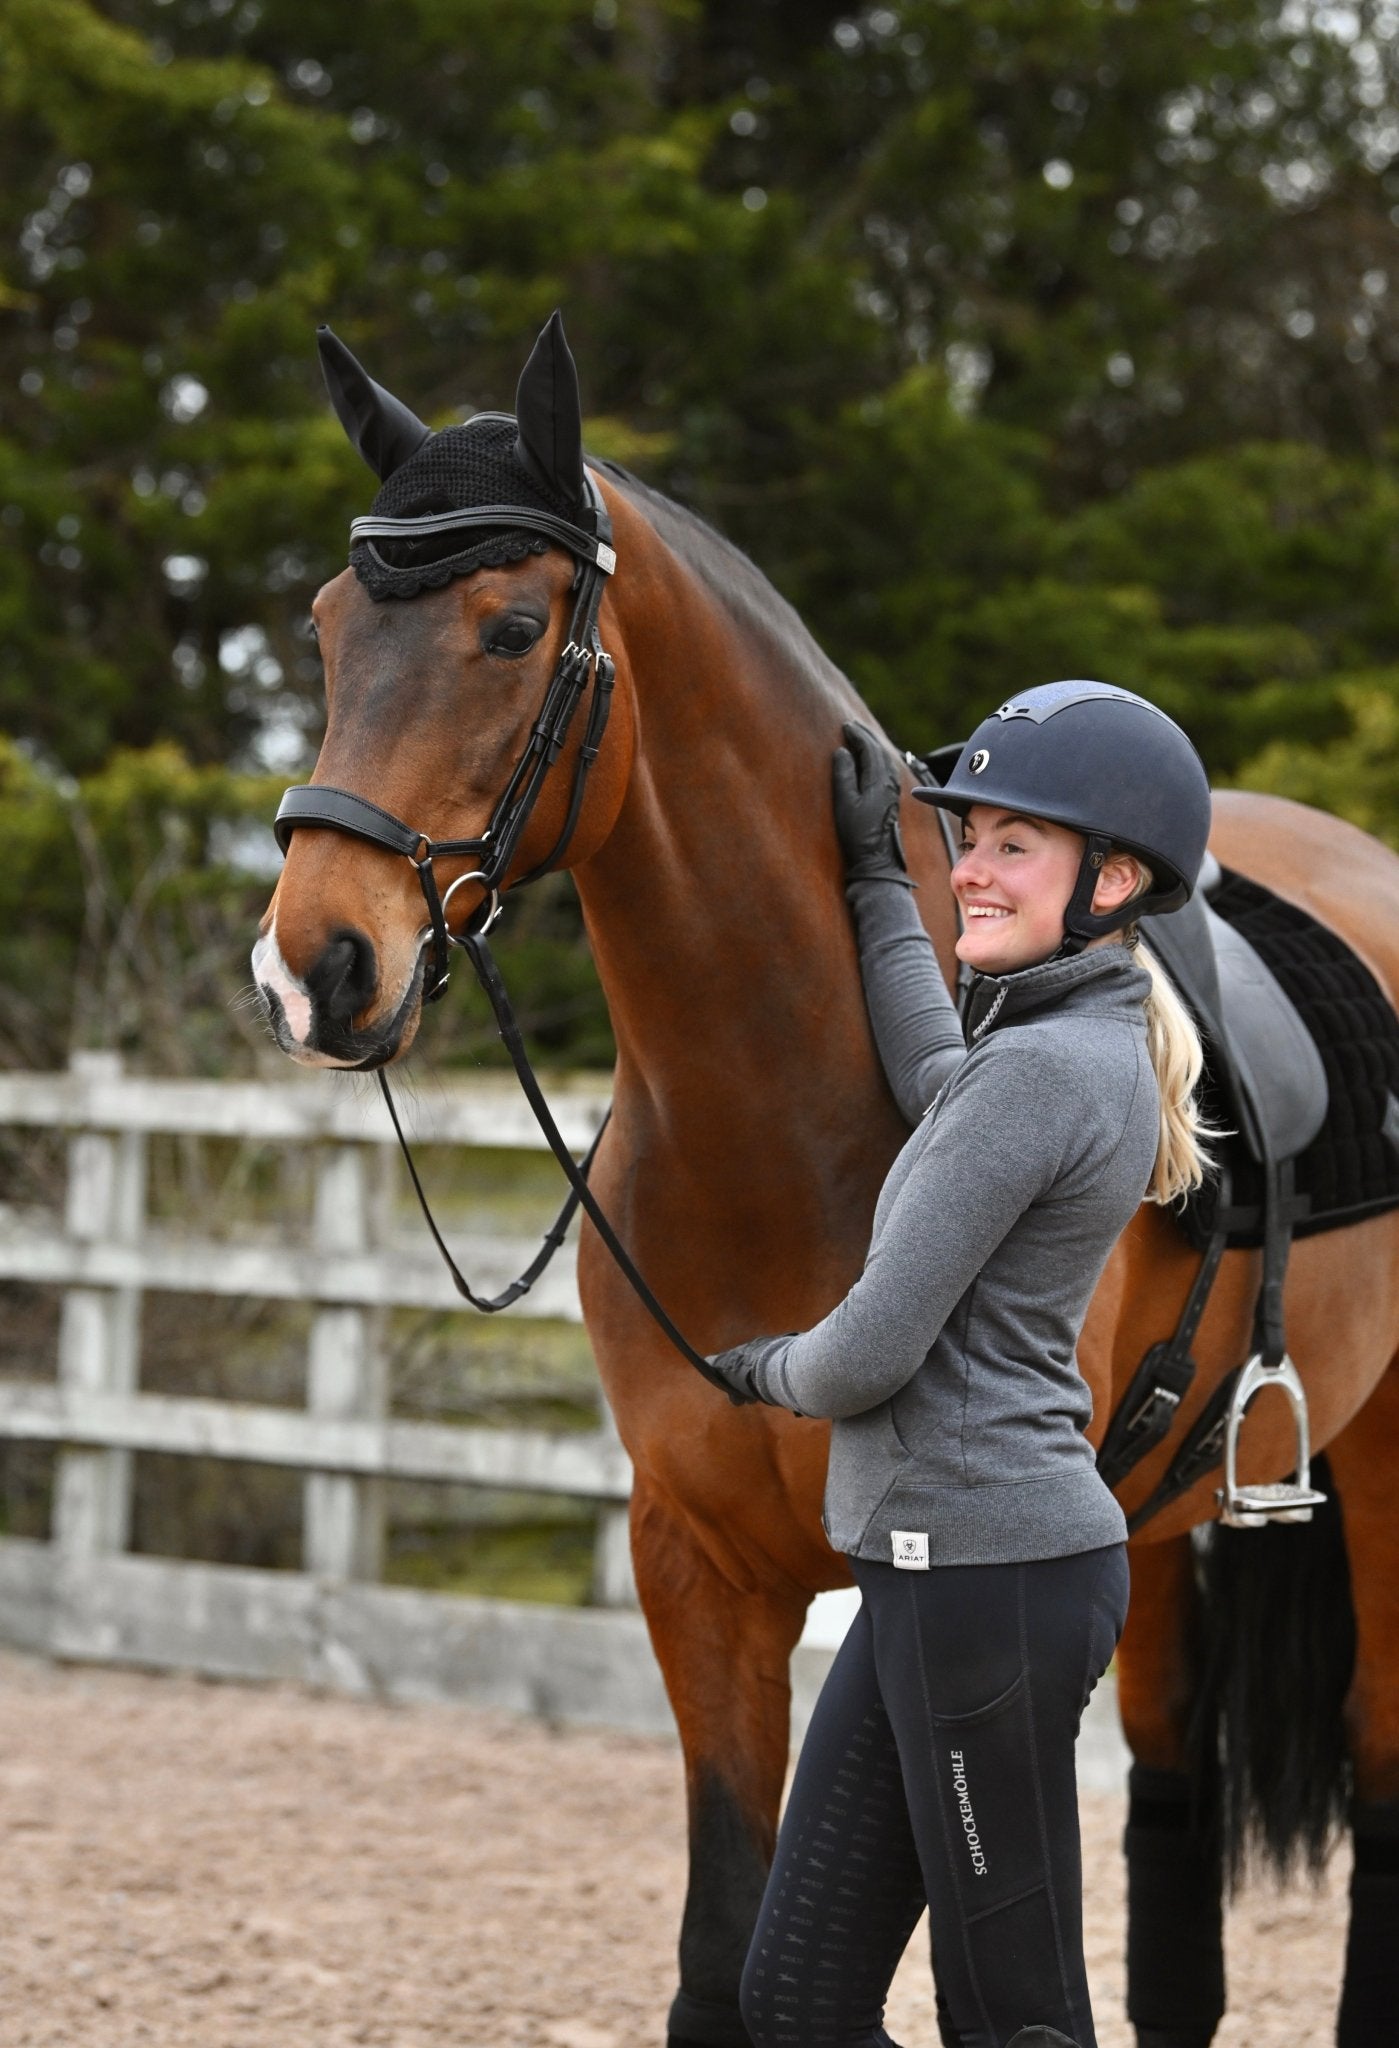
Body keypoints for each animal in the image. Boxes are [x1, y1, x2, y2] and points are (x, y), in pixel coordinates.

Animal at [257, 319, 1399, 2048]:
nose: (312, 967)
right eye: (330, 628)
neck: (783, 1129)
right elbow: (722, 1958)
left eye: (510, 629)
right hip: (1147, 1538)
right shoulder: (697, 1573)